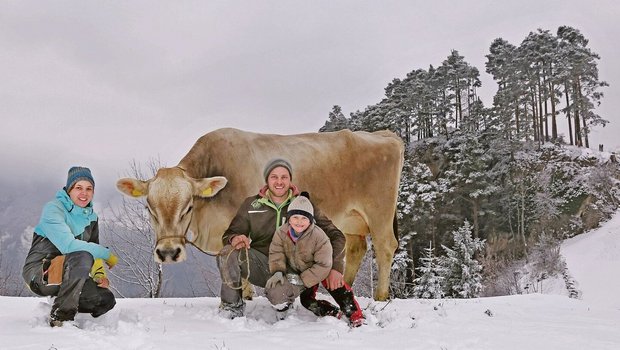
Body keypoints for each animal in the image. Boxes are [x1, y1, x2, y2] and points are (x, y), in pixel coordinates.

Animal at [117, 127, 404, 300]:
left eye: (188, 206)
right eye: (149, 207)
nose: (168, 252)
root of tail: (383, 135)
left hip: (379, 210)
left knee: (385, 246)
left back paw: (380, 297)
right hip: (352, 219)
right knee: (356, 248)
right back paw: (346, 286)